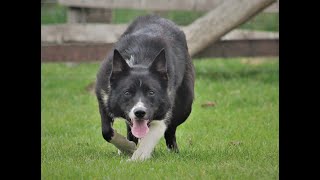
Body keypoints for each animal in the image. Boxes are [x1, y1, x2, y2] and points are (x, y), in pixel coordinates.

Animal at [95, 15, 195, 160]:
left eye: (151, 92)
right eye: (127, 93)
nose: (140, 112)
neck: (140, 62)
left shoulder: (164, 109)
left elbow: (152, 135)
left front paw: (137, 157)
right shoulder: (104, 98)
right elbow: (107, 131)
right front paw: (127, 147)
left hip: (185, 105)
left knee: (171, 129)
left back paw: (173, 151)